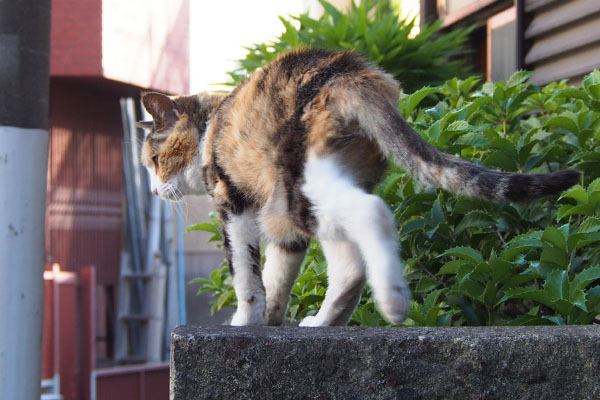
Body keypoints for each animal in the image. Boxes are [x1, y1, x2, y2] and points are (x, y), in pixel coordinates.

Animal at [137, 48, 580, 326]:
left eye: (154, 160)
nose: (154, 192)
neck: (212, 126)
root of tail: (347, 73)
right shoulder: (282, 228)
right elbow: (279, 272)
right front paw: (273, 317)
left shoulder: (235, 205)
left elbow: (246, 273)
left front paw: (245, 320)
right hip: (313, 188)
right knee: (350, 260)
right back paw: (324, 322)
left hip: (301, 192)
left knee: (370, 220)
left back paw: (392, 303)